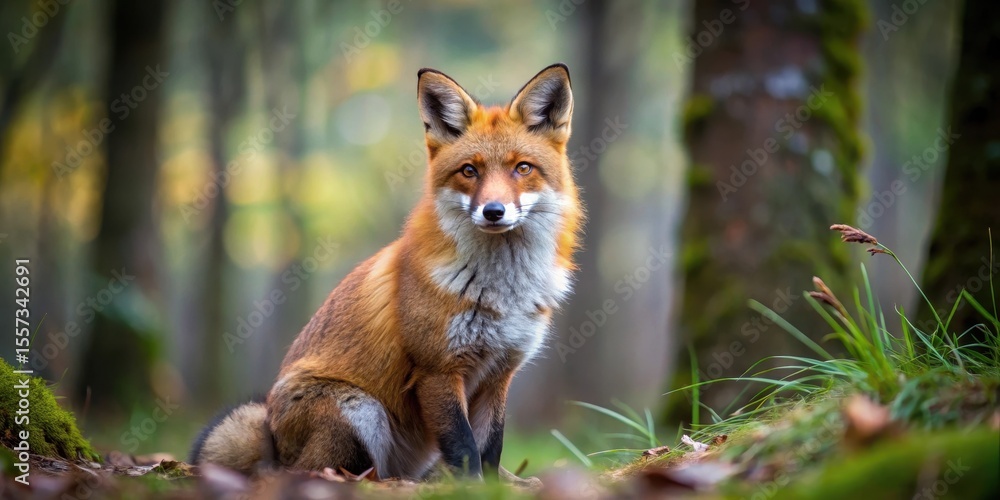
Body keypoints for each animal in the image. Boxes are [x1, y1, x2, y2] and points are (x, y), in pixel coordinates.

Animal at [190, 63, 583, 481]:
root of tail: (274, 442)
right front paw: (469, 486)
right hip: (360, 409)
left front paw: (493, 486)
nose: (493, 211)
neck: (500, 291)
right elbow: (464, 447)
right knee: (319, 472)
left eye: (522, 168)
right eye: (469, 171)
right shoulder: (437, 369)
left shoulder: (499, 373)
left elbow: (491, 448)